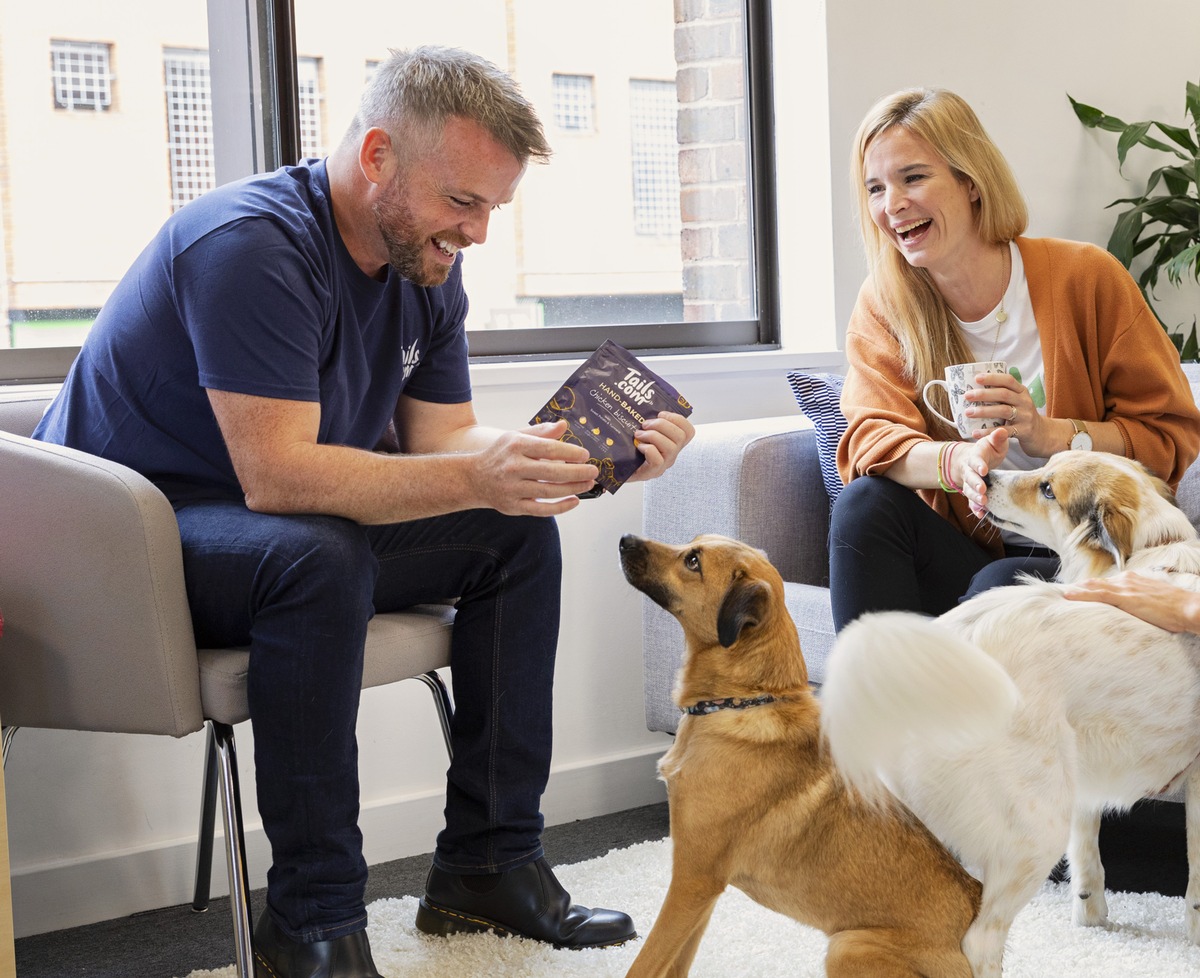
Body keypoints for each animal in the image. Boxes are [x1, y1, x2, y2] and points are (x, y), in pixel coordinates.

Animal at [619, 532, 984, 974]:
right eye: (691, 546)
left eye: (693, 561)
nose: (624, 540)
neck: (743, 699)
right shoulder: (703, 891)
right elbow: (675, 963)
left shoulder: (694, 879)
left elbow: (646, 962)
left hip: (846, 946)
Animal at [820, 451, 1200, 978]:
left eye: (1048, 488)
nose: (984, 474)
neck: (1157, 549)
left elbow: (1088, 851)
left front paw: (1091, 914)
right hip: (1033, 828)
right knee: (978, 941)